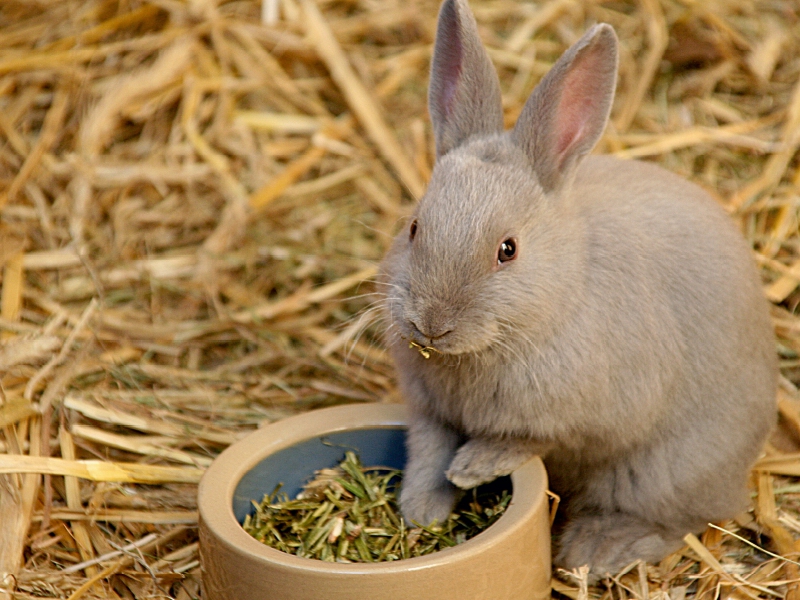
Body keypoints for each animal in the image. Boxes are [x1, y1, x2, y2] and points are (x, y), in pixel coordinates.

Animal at [378, 0, 780, 580]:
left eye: (507, 249)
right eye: (414, 228)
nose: (430, 324)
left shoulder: (591, 417)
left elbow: (532, 438)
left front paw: (473, 467)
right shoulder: (431, 412)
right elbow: (429, 454)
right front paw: (422, 510)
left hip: (659, 474)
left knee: (679, 518)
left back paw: (595, 551)